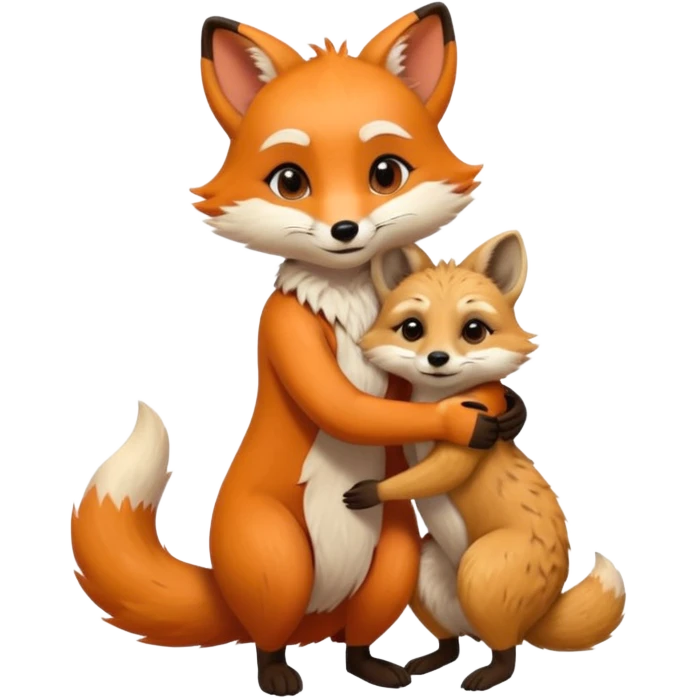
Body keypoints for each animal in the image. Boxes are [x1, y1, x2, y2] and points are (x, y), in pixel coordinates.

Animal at [70, 5, 528, 695]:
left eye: (385, 173)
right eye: (290, 180)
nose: (344, 230)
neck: (345, 299)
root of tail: (317, 619)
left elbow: (398, 402)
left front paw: (504, 408)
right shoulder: (285, 330)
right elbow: (344, 405)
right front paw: (460, 420)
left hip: (392, 557)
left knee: (357, 636)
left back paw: (372, 665)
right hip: (275, 556)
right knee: (267, 635)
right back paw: (279, 674)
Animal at [344, 229, 627, 692]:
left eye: (474, 330)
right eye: (412, 329)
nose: (437, 359)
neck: (439, 401)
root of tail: (537, 615)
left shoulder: (474, 426)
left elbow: (434, 473)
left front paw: (371, 493)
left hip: (481, 572)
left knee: (506, 651)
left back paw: (487, 674)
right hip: (427, 571)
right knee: (455, 643)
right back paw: (434, 658)